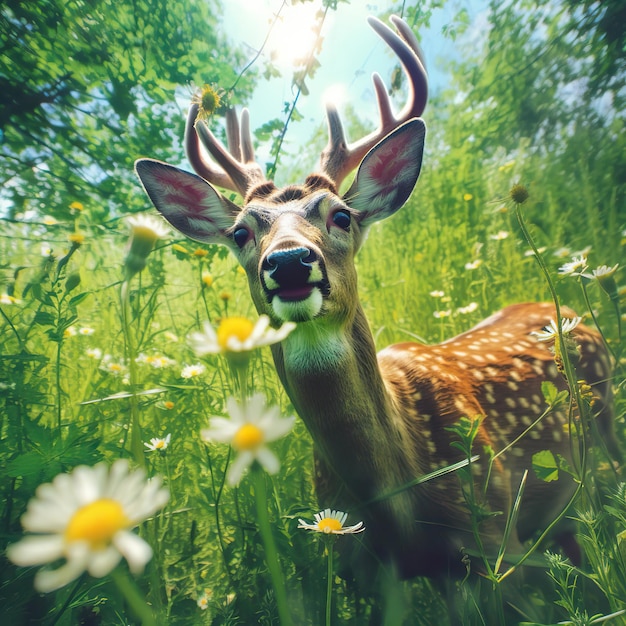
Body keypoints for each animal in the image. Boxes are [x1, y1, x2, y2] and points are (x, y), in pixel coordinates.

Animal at [134, 13, 616, 604]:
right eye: (241, 232)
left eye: (341, 215)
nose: (289, 262)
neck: (400, 501)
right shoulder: (367, 572)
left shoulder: (496, 549)